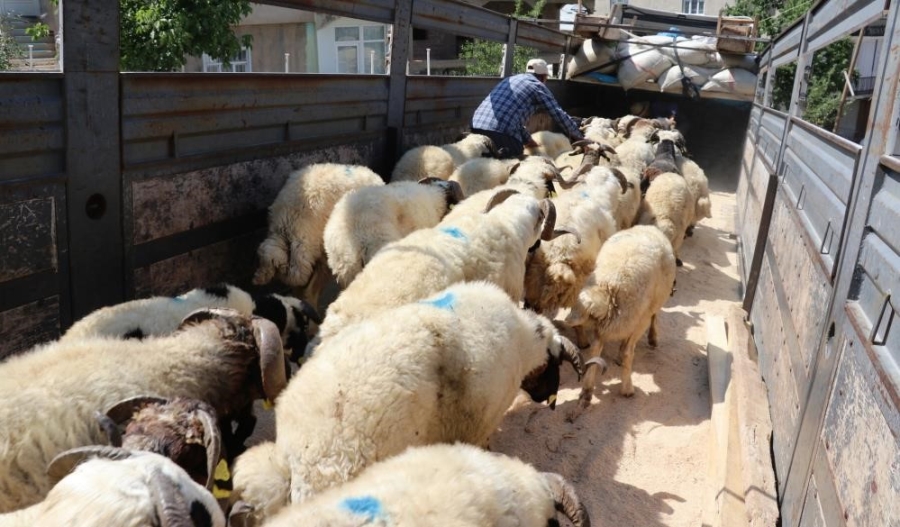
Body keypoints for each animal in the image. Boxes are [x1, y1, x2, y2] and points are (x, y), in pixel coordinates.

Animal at [564, 225, 676, 402]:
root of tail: (610, 284)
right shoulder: (649, 308)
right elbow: (654, 317)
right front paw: (653, 339)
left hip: (609, 323)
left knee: (595, 348)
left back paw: (587, 389)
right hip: (635, 318)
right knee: (628, 352)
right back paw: (627, 389)